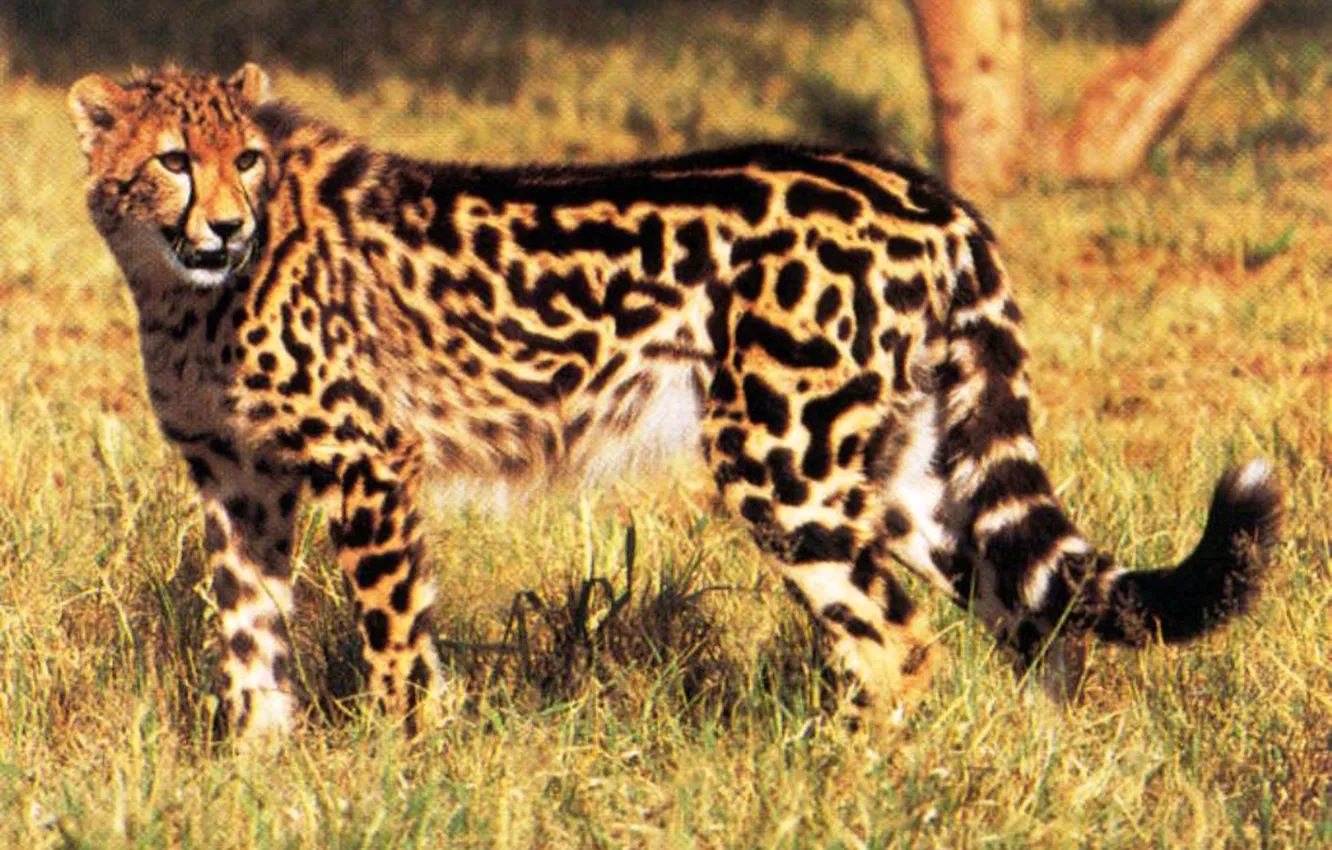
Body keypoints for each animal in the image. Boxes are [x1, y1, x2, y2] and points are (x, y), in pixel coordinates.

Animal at [68, 63, 1280, 740]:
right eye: (174, 160)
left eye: (248, 160)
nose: (227, 225)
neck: (184, 287)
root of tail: (927, 190)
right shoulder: (240, 484)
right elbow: (248, 638)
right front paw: (260, 770)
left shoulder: (372, 462)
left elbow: (396, 647)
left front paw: (399, 769)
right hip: (899, 470)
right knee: (1038, 611)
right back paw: (1034, 776)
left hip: (787, 466)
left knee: (895, 640)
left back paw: (844, 790)